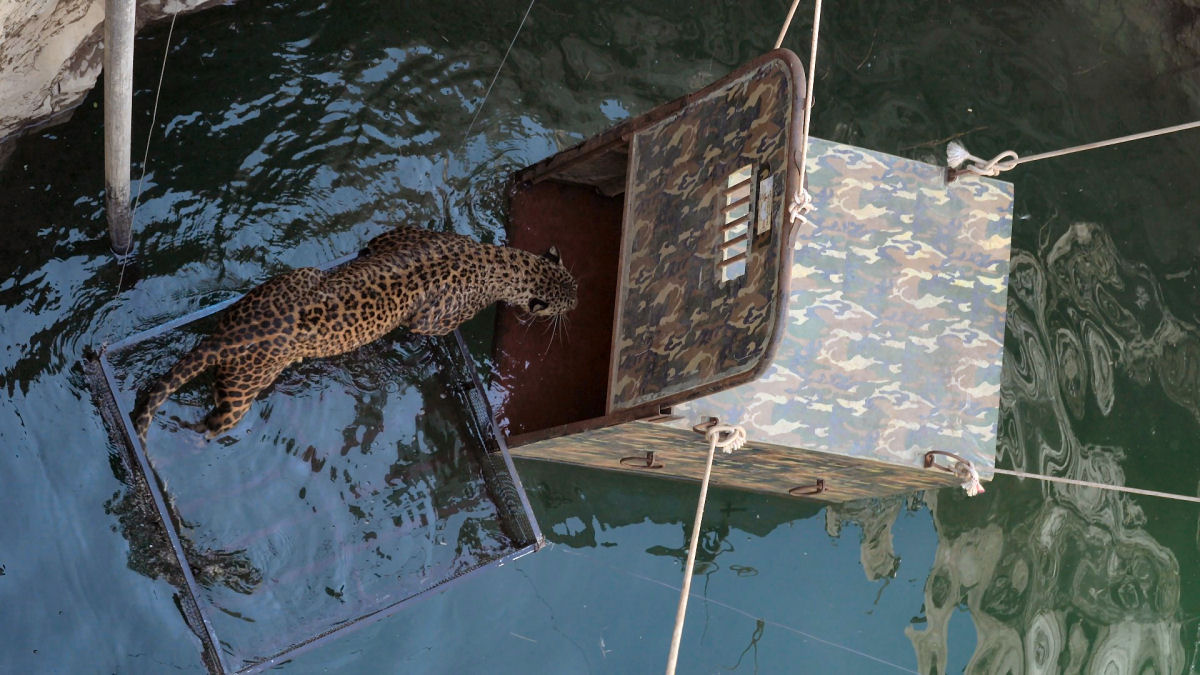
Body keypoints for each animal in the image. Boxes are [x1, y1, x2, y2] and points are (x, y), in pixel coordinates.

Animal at [133, 224, 578, 441]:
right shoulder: (436, 318)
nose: (578, 301)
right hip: (242, 392)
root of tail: (228, 336)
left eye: (573, 284)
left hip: (291, 279)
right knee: (213, 420)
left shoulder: (393, 237)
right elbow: (430, 326)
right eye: (569, 299)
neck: (497, 261)